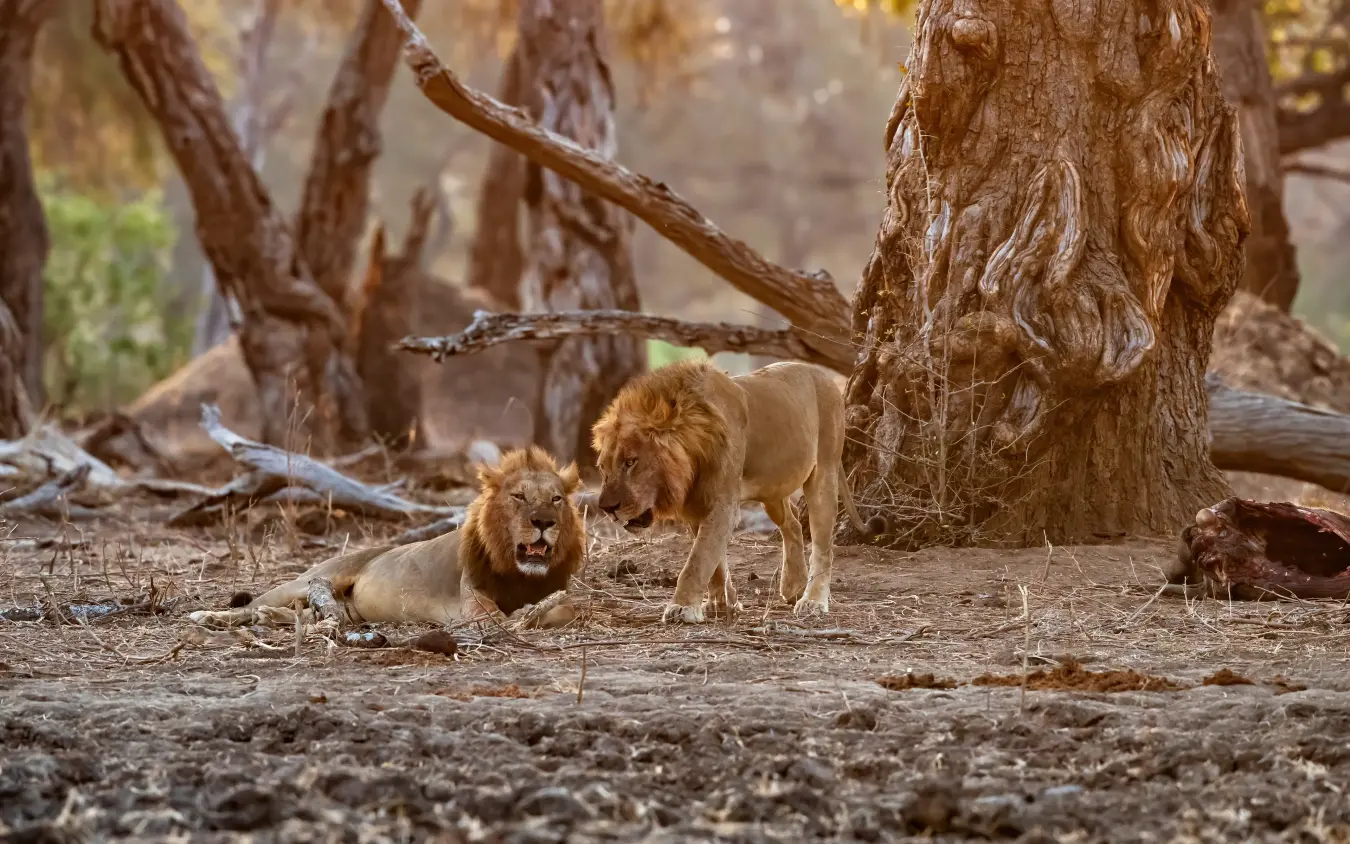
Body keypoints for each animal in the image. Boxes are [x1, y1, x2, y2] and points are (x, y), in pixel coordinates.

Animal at [189, 446, 584, 631]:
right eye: (518, 497)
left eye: (556, 499)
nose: (544, 521)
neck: (519, 572)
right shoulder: (470, 603)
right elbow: (492, 616)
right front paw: (518, 615)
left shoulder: (559, 594)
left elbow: (561, 609)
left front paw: (530, 611)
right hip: (310, 580)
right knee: (252, 605)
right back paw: (209, 616)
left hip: (346, 612)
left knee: (311, 615)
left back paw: (269, 618)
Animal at [591, 359, 868, 623]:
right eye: (603, 467)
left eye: (630, 462)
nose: (607, 508)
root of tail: (823, 375)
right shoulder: (696, 505)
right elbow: (714, 561)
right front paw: (721, 604)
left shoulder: (723, 502)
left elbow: (698, 559)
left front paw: (683, 607)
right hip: (773, 488)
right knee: (792, 523)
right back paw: (793, 587)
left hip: (824, 471)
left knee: (823, 545)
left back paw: (812, 601)